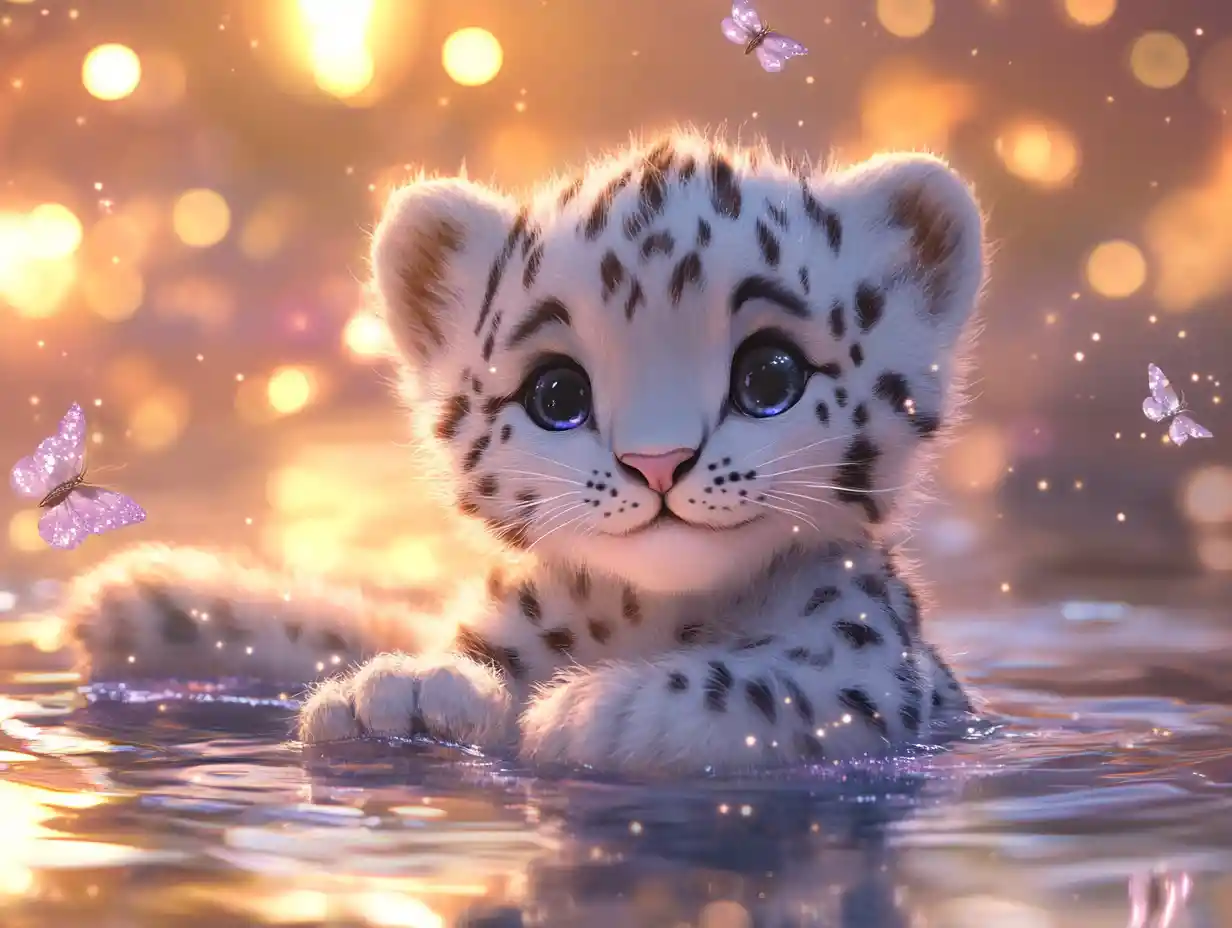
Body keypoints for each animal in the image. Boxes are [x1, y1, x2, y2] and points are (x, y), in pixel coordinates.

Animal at [65, 129, 984, 776]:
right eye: (556, 394)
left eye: (771, 375)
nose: (659, 462)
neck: (649, 617)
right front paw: (397, 698)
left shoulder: (867, 660)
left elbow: (781, 691)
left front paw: (595, 714)